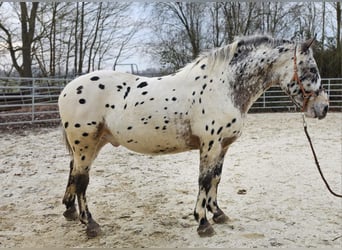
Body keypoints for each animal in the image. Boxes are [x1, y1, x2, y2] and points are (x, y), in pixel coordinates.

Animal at [58, 34, 328, 237]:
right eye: (311, 69)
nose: (323, 108)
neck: (223, 87)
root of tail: (67, 89)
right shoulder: (210, 144)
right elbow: (204, 180)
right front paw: (202, 222)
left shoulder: (223, 146)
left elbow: (216, 178)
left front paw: (217, 213)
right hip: (85, 143)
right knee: (82, 180)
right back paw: (90, 224)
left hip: (94, 143)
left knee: (73, 172)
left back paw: (70, 212)